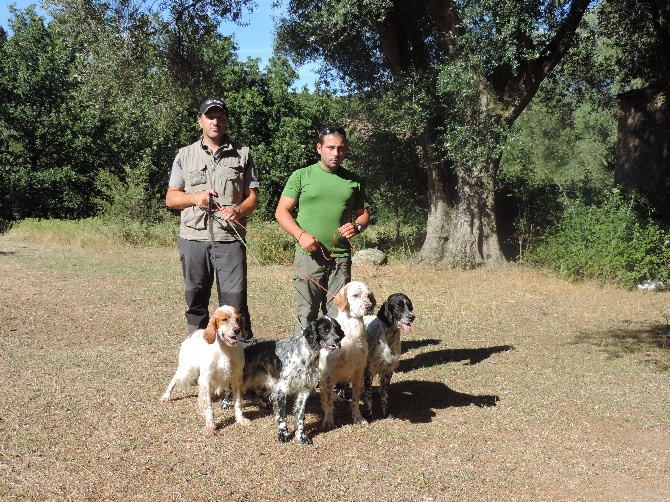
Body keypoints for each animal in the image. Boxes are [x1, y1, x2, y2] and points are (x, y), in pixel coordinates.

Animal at [161, 304, 252, 434]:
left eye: (237, 319)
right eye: (224, 319)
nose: (237, 330)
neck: (225, 349)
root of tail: (193, 333)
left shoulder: (237, 378)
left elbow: (238, 402)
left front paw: (240, 420)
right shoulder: (206, 379)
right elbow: (208, 406)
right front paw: (210, 426)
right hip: (186, 368)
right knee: (174, 380)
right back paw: (166, 396)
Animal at [242, 316, 344, 446]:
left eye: (336, 328)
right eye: (324, 329)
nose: (337, 339)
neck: (305, 355)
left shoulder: (304, 390)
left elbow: (300, 416)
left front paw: (301, 436)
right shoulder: (281, 390)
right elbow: (282, 415)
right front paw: (283, 435)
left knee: (259, 391)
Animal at [364, 292, 418, 422]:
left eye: (410, 306)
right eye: (398, 306)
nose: (412, 317)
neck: (388, 337)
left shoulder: (387, 370)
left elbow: (385, 395)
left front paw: (387, 413)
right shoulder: (368, 371)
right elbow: (368, 396)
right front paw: (368, 415)